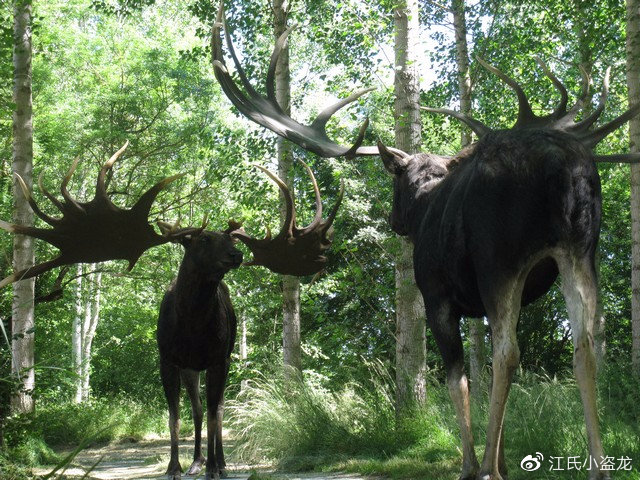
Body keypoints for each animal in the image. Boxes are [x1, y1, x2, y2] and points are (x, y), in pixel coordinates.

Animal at [212, 5, 640, 479]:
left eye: (396, 183)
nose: (396, 219)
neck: (425, 204)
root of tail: (562, 167)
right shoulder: (488, 300)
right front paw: (502, 459)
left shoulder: (438, 296)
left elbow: (458, 378)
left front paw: (473, 463)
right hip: (580, 250)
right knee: (584, 346)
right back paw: (597, 465)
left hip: (500, 261)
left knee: (509, 354)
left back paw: (487, 467)